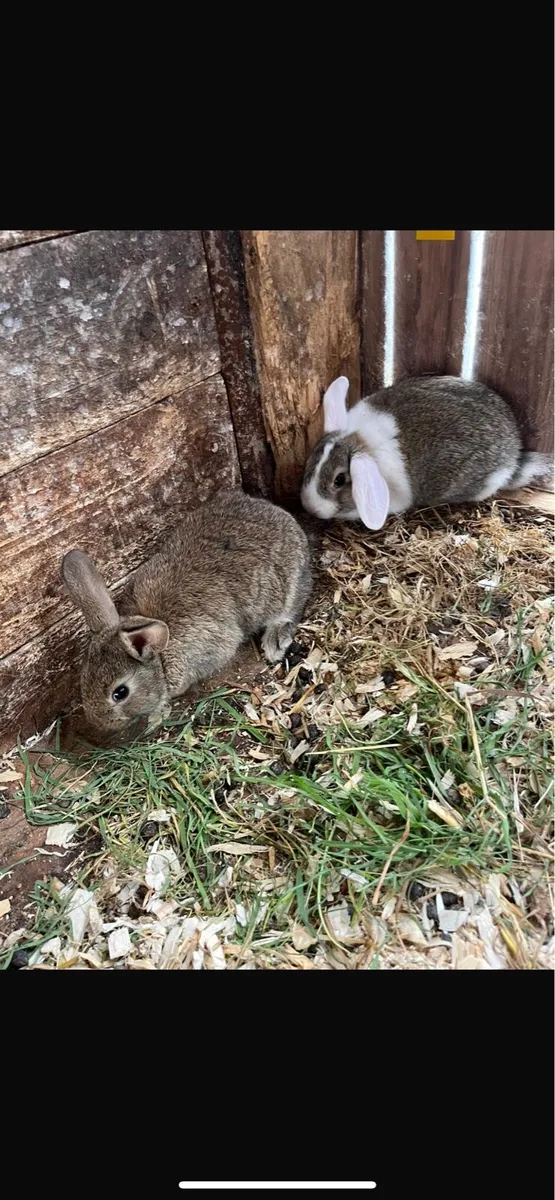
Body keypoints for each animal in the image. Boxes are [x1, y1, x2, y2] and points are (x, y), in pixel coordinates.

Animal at [61, 489, 312, 731]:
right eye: (83, 681)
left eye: (120, 693)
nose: (100, 724)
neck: (160, 659)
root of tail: (285, 518)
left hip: (287, 586)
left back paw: (275, 641)